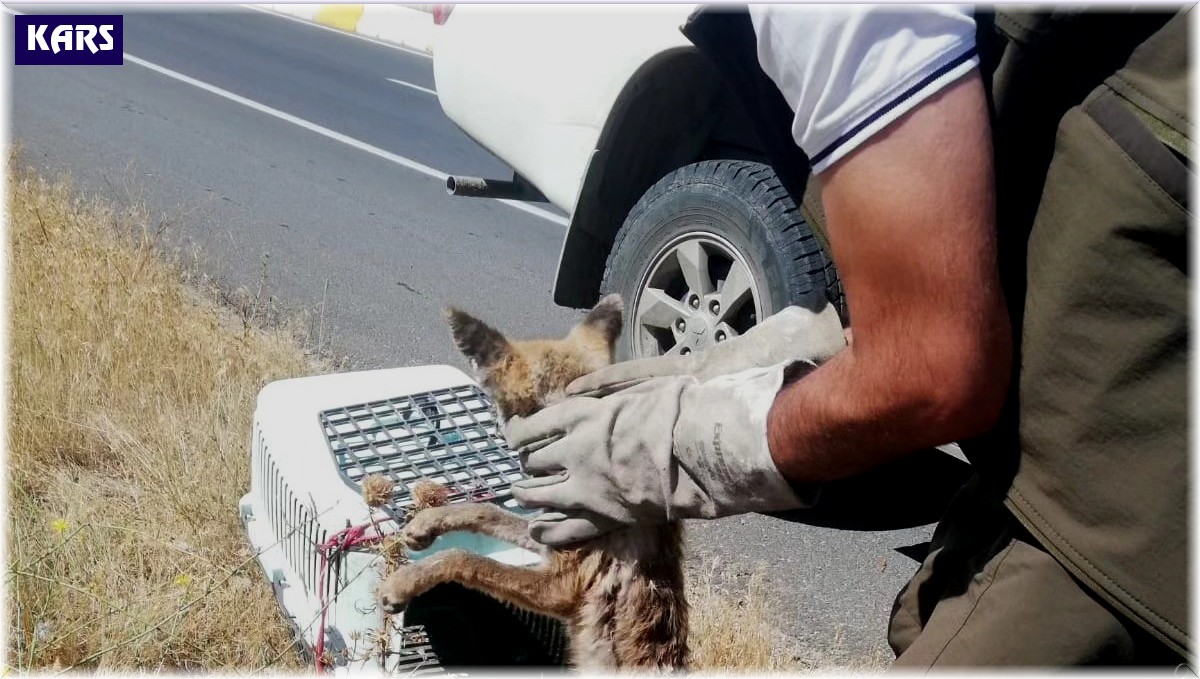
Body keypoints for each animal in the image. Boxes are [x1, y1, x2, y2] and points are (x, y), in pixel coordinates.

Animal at [379, 295, 691, 671]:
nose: (495, 430)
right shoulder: (546, 538)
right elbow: (485, 511)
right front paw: (426, 523)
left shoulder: (560, 587)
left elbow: (465, 558)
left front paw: (404, 582)